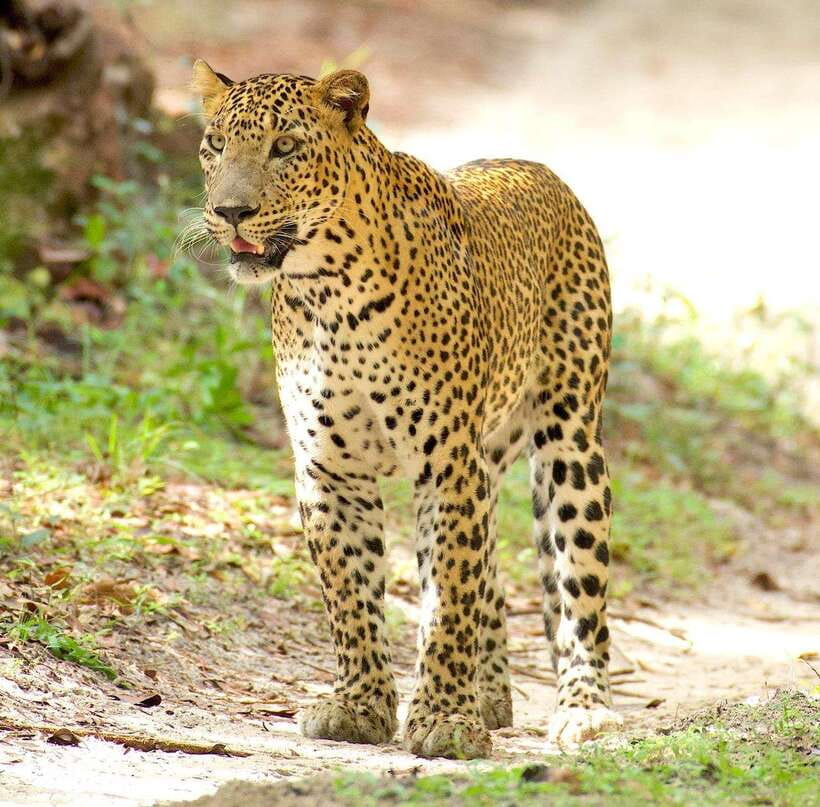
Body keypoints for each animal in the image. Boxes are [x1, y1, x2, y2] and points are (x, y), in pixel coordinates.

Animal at [192, 60, 623, 759]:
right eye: (215, 143)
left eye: (285, 147)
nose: (231, 211)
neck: (327, 293)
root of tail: (534, 167)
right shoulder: (329, 470)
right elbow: (351, 594)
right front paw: (360, 706)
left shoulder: (447, 464)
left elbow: (447, 597)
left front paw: (444, 719)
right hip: (489, 457)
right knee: (488, 562)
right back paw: (490, 694)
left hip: (569, 439)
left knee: (576, 582)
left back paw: (585, 710)